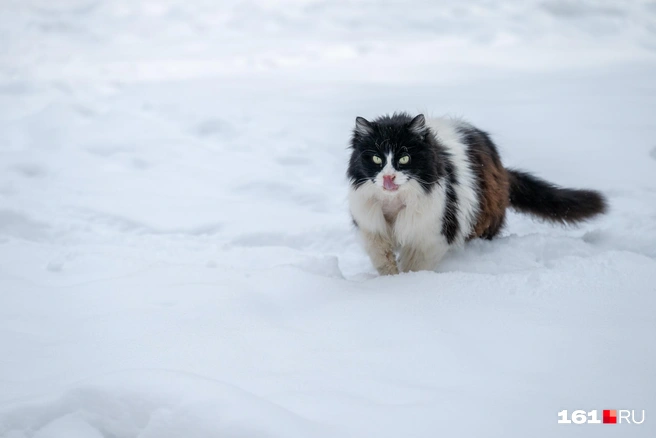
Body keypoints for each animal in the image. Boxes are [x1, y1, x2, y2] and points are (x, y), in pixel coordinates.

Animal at [346, 114, 608, 276]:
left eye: (404, 158)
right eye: (376, 159)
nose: (388, 178)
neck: (394, 203)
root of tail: (501, 168)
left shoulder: (431, 233)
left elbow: (416, 265)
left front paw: (407, 283)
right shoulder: (371, 227)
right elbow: (381, 257)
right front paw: (390, 278)